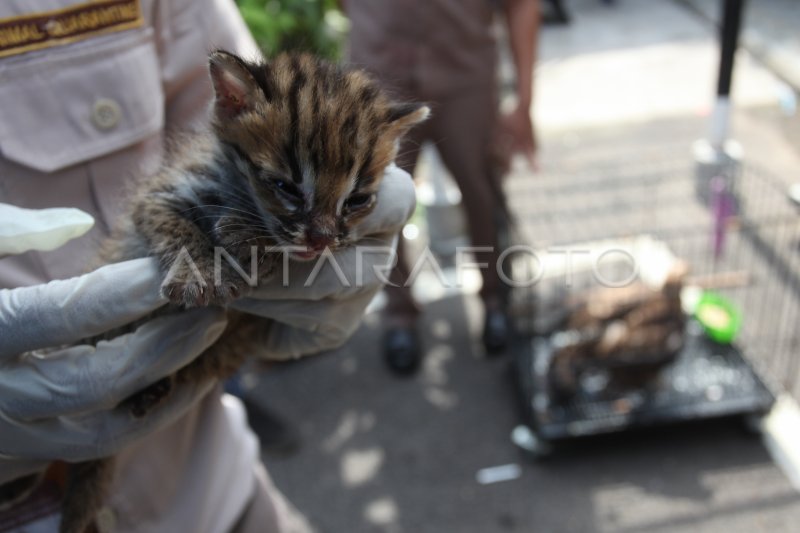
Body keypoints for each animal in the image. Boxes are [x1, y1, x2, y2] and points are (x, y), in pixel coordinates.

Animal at [57, 50, 432, 532]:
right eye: (286, 187)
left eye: (356, 201)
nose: (322, 240)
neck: (240, 192)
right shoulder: (159, 195)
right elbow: (176, 227)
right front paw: (201, 270)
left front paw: (247, 237)